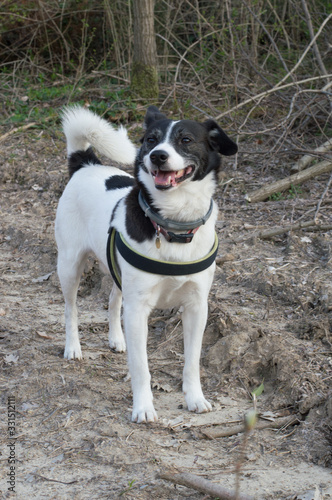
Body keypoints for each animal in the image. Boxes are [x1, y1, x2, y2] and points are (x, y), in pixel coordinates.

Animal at [55, 105, 236, 422]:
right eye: (151, 139)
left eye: (186, 139)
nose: (157, 156)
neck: (174, 225)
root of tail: (87, 164)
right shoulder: (139, 308)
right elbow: (141, 366)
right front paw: (143, 407)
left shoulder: (197, 307)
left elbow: (192, 361)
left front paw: (195, 398)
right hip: (69, 265)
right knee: (71, 308)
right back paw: (73, 347)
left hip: (116, 271)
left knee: (114, 300)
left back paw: (117, 339)